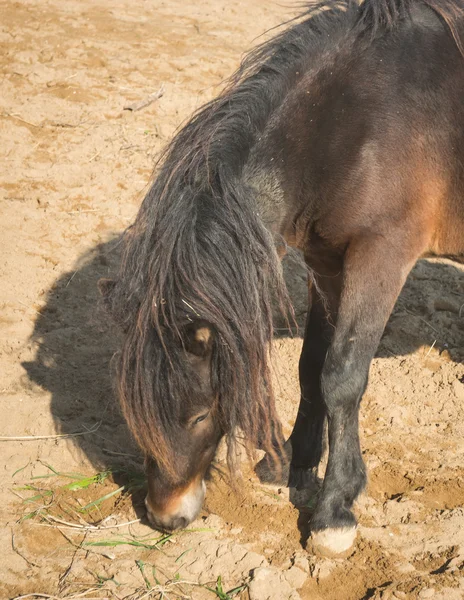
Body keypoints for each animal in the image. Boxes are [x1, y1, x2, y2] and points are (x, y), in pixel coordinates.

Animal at [100, 0, 464, 556]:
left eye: (199, 416)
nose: (165, 517)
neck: (351, 126)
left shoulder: (382, 257)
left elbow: (342, 377)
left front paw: (335, 511)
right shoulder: (327, 265)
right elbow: (310, 367)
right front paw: (293, 463)